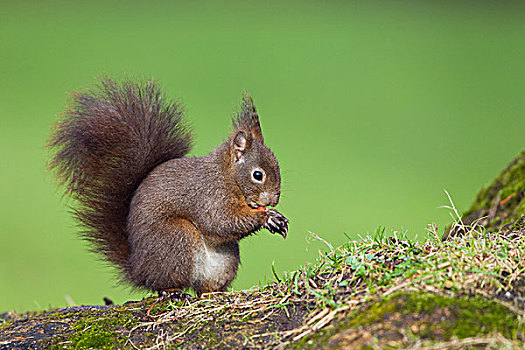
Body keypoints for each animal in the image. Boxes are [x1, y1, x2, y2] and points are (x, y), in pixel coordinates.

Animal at [48, 78, 286, 296]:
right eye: (258, 175)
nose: (274, 200)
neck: (227, 176)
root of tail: (139, 270)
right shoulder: (209, 195)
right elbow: (220, 221)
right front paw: (267, 217)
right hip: (177, 238)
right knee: (162, 283)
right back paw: (172, 291)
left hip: (224, 263)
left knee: (202, 288)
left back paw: (214, 293)